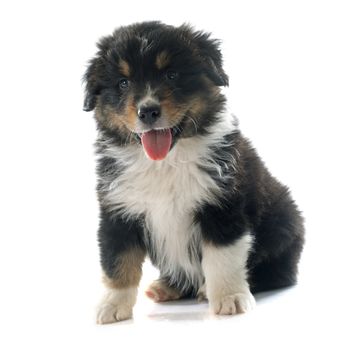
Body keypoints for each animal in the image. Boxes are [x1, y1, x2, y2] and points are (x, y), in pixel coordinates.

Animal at [82, 21, 304, 322]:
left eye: (172, 75)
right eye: (123, 83)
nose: (148, 111)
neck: (164, 162)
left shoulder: (222, 205)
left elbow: (222, 258)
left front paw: (230, 298)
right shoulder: (118, 211)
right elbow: (117, 262)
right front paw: (112, 306)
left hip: (283, 223)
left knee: (274, 270)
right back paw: (165, 287)